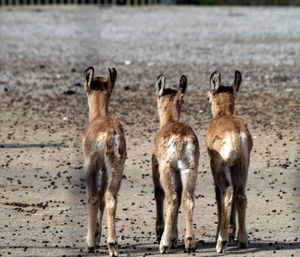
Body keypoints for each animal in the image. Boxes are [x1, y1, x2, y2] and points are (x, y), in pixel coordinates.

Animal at [152, 73, 199, 252]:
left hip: (168, 169)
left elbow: (160, 193)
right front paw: (174, 238)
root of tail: (180, 140)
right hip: (189, 169)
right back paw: (190, 242)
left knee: (171, 198)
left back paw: (163, 244)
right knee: (187, 199)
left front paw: (168, 238)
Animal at [206, 70, 253, 252]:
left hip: (220, 168)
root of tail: (237, 134)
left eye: (208, 97)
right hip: (242, 166)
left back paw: (221, 242)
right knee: (240, 195)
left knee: (227, 192)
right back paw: (243, 240)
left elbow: (218, 195)